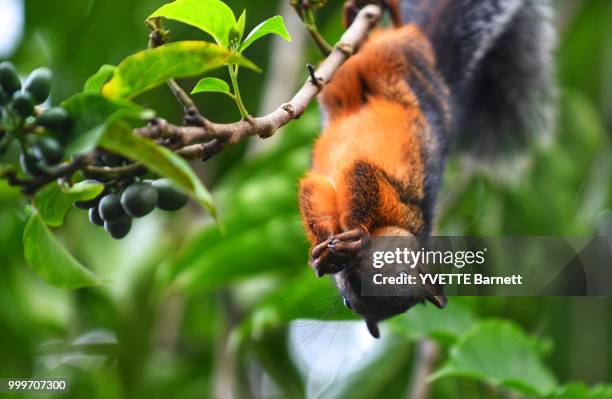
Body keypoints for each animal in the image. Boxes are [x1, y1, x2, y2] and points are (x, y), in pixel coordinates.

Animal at [296, 0, 556, 338]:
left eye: (349, 304)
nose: (350, 276)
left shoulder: (367, 187)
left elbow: (326, 185)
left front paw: (351, 243)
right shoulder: (390, 196)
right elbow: (334, 191)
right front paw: (335, 244)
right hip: (399, 62)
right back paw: (365, 15)